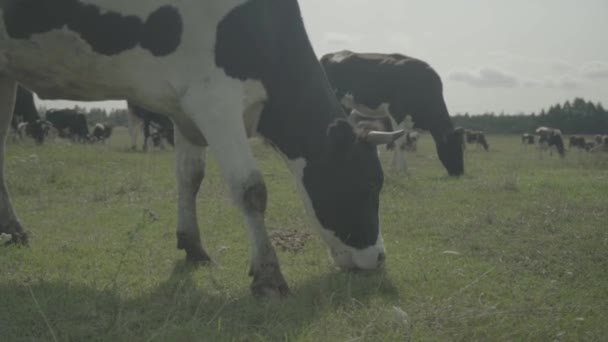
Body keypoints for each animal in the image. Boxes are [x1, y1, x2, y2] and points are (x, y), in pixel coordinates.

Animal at [1, 0, 408, 296]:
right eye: (368, 184)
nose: (380, 257)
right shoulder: (214, 98)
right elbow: (251, 189)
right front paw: (268, 276)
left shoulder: (185, 104)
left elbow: (190, 176)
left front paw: (193, 247)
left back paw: (14, 231)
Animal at [320, 50, 464, 176]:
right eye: (454, 148)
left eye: (462, 149)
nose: (460, 173)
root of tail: (330, 55)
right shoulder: (397, 113)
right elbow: (399, 143)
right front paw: (403, 171)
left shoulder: (408, 119)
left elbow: (398, 141)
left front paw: (393, 169)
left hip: (347, 106)